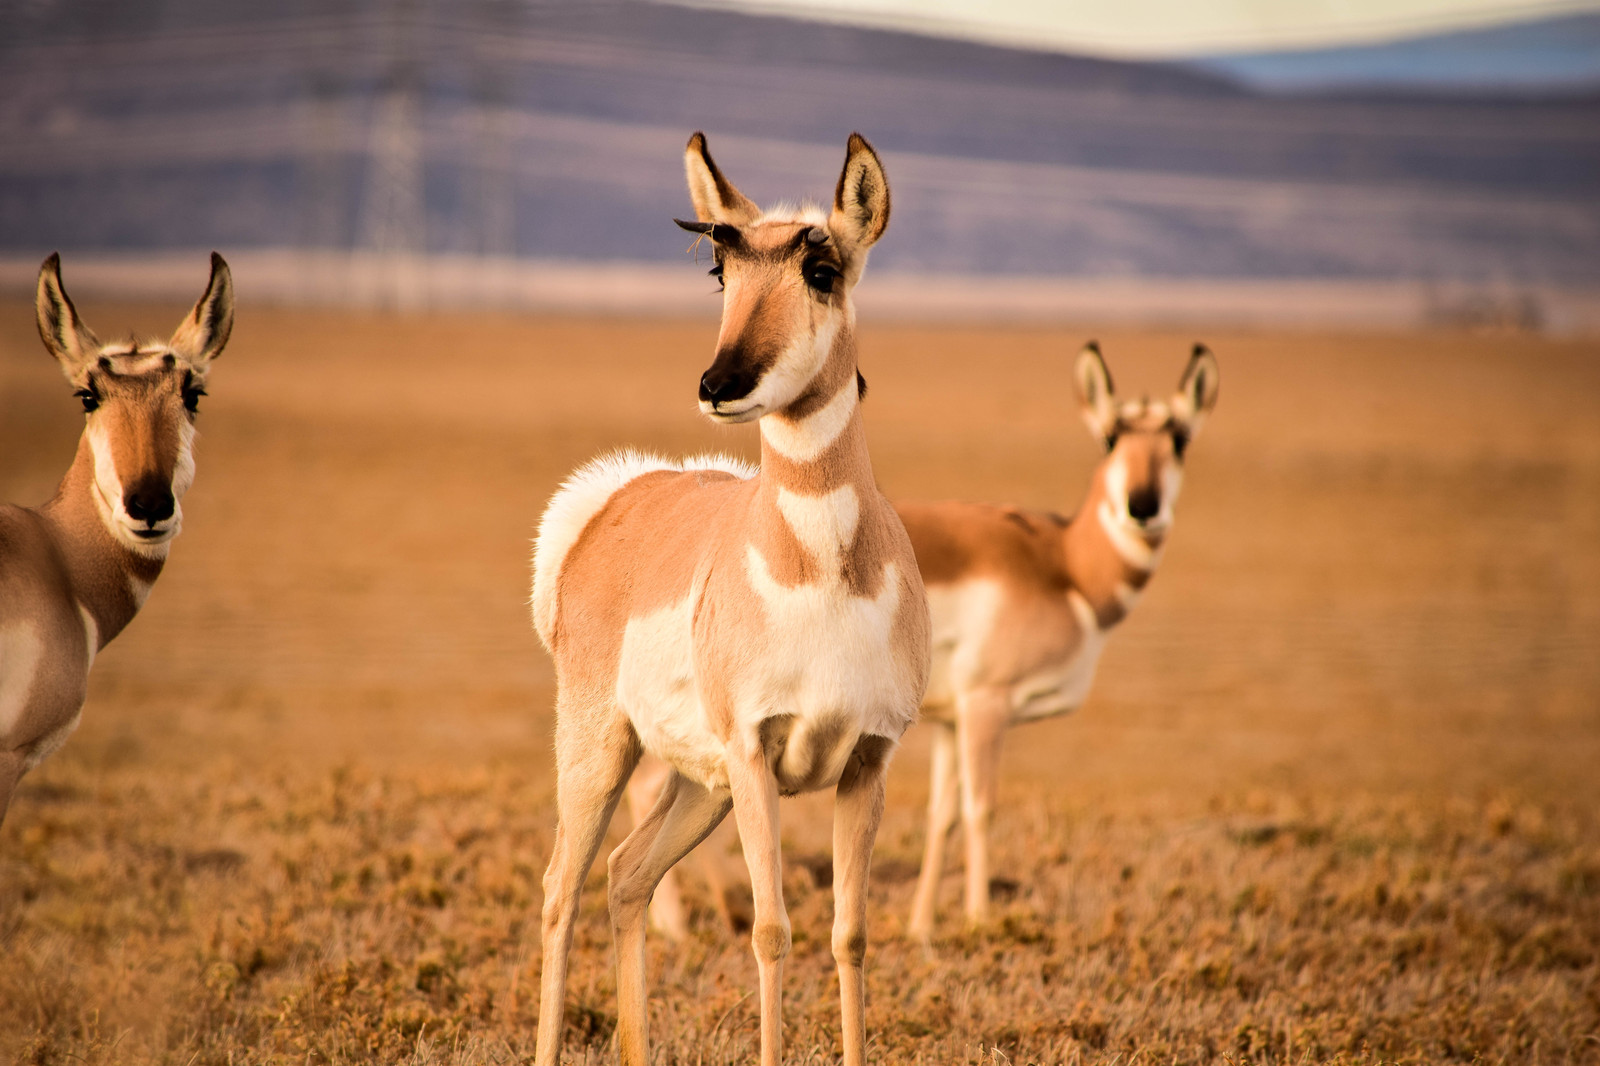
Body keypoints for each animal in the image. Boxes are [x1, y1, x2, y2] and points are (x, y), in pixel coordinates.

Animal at [528, 132, 928, 1062]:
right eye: (721, 269)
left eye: (822, 268)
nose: (718, 383)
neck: (821, 573)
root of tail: (624, 493)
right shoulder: (755, 756)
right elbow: (771, 931)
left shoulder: (867, 762)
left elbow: (850, 936)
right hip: (604, 752)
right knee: (562, 887)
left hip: (696, 785)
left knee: (626, 874)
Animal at [902, 342, 1222, 941]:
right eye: (1111, 436)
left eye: (1180, 438)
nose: (1142, 504)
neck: (1063, 563)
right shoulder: (986, 706)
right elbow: (981, 808)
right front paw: (980, 919)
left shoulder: (949, 721)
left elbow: (941, 816)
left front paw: (921, 929)